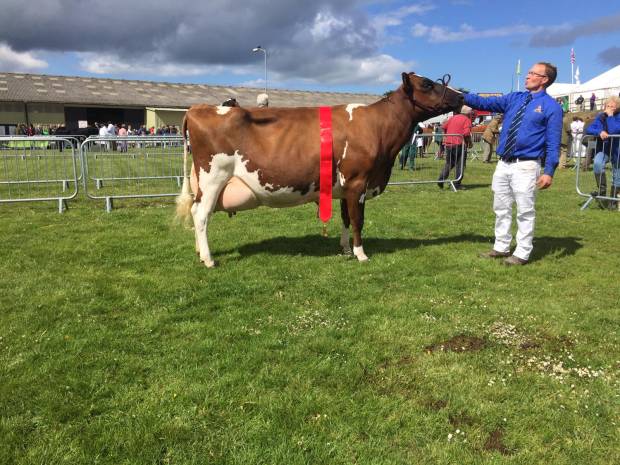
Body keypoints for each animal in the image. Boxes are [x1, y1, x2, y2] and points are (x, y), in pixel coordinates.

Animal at [177, 73, 462, 268]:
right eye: (427, 84)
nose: (461, 95)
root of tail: (198, 108)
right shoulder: (358, 181)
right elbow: (358, 220)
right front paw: (361, 254)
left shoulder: (347, 186)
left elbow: (346, 218)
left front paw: (346, 249)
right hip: (213, 177)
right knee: (201, 215)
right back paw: (209, 259)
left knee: (194, 211)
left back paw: (198, 252)